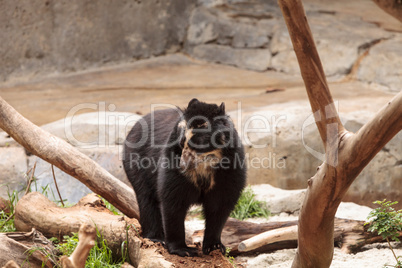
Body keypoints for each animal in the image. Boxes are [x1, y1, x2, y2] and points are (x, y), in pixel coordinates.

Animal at [124, 99, 247, 258]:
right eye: (182, 141)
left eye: (198, 142)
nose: (182, 165)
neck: (205, 165)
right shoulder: (171, 161)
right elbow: (173, 200)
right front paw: (183, 249)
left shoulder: (230, 168)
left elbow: (220, 205)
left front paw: (214, 246)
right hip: (137, 163)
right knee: (147, 199)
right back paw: (156, 238)